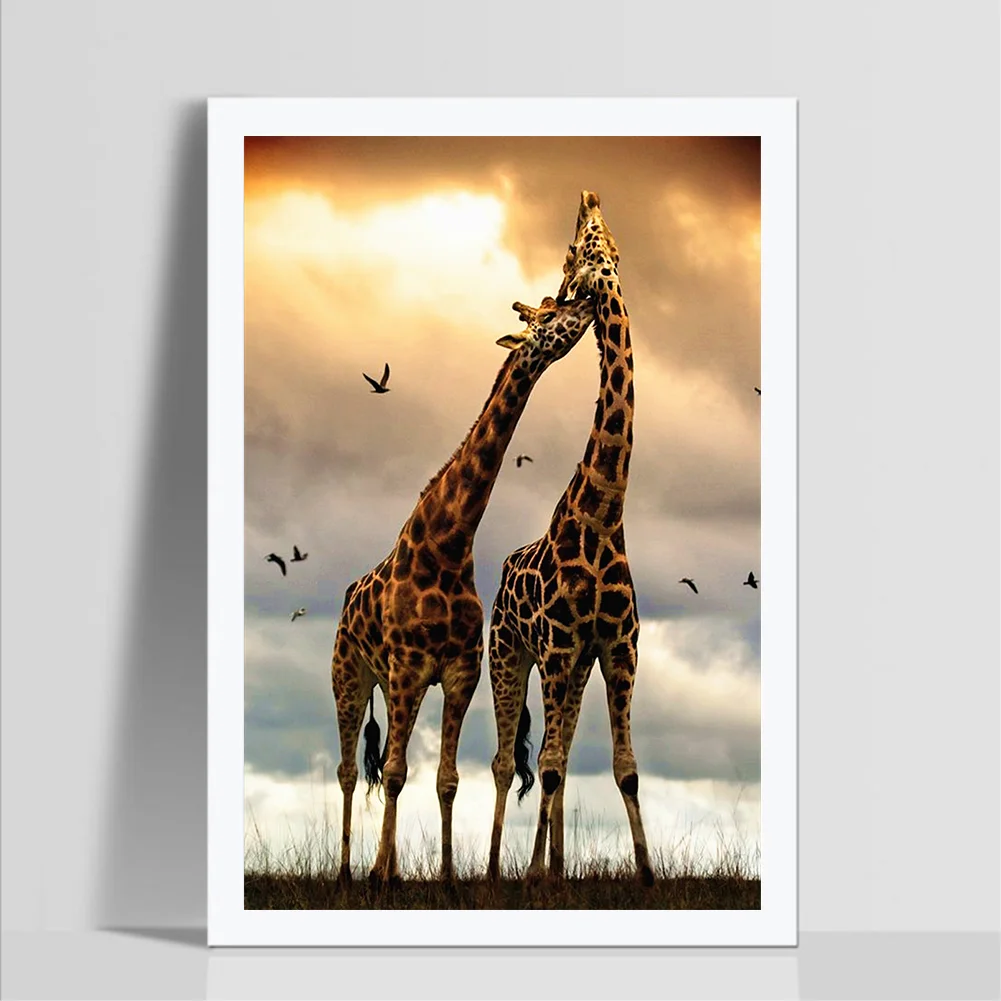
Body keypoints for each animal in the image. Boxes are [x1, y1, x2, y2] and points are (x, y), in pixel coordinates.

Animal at [331, 294, 595, 886]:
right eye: (547, 315)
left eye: (557, 302)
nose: (589, 301)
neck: (448, 546)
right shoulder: (408, 668)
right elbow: (395, 772)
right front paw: (384, 880)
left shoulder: (458, 672)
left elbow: (444, 778)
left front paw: (447, 877)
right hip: (350, 676)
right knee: (348, 770)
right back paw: (348, 872)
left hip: (390, 684)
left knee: (385, 763)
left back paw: (383, 864)